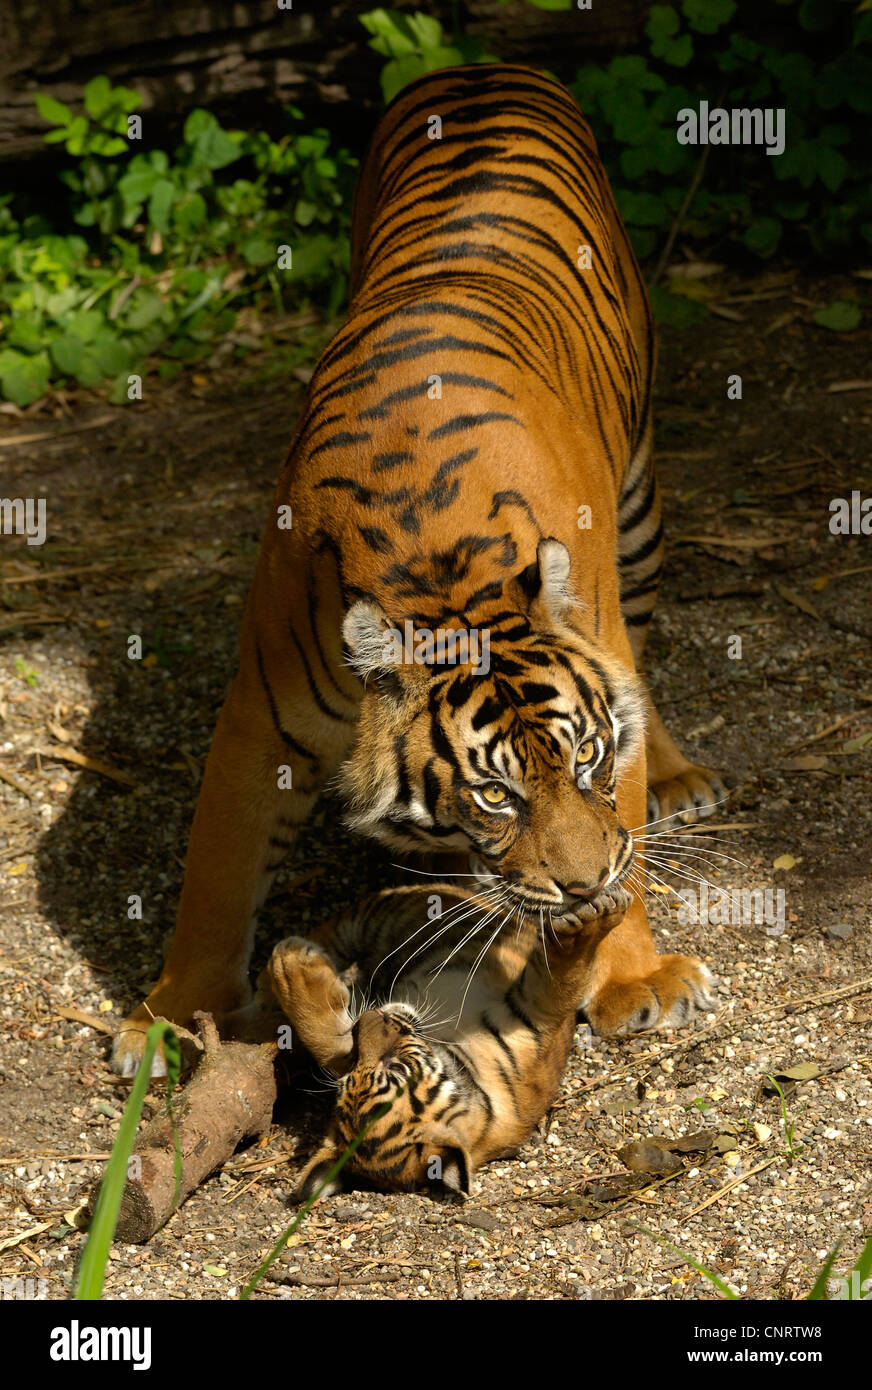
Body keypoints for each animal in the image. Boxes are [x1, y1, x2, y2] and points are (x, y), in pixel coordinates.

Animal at [117, 62, 728, 1073]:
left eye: (587, 755)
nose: (581, 884)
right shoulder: (261, 717)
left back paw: (680, 776)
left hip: (638, 507)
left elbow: (628, 813)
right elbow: (216, 876)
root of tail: (483, 66)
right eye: (495, 793)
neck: (443, 576)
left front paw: (635, 975)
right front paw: (169, 1020)